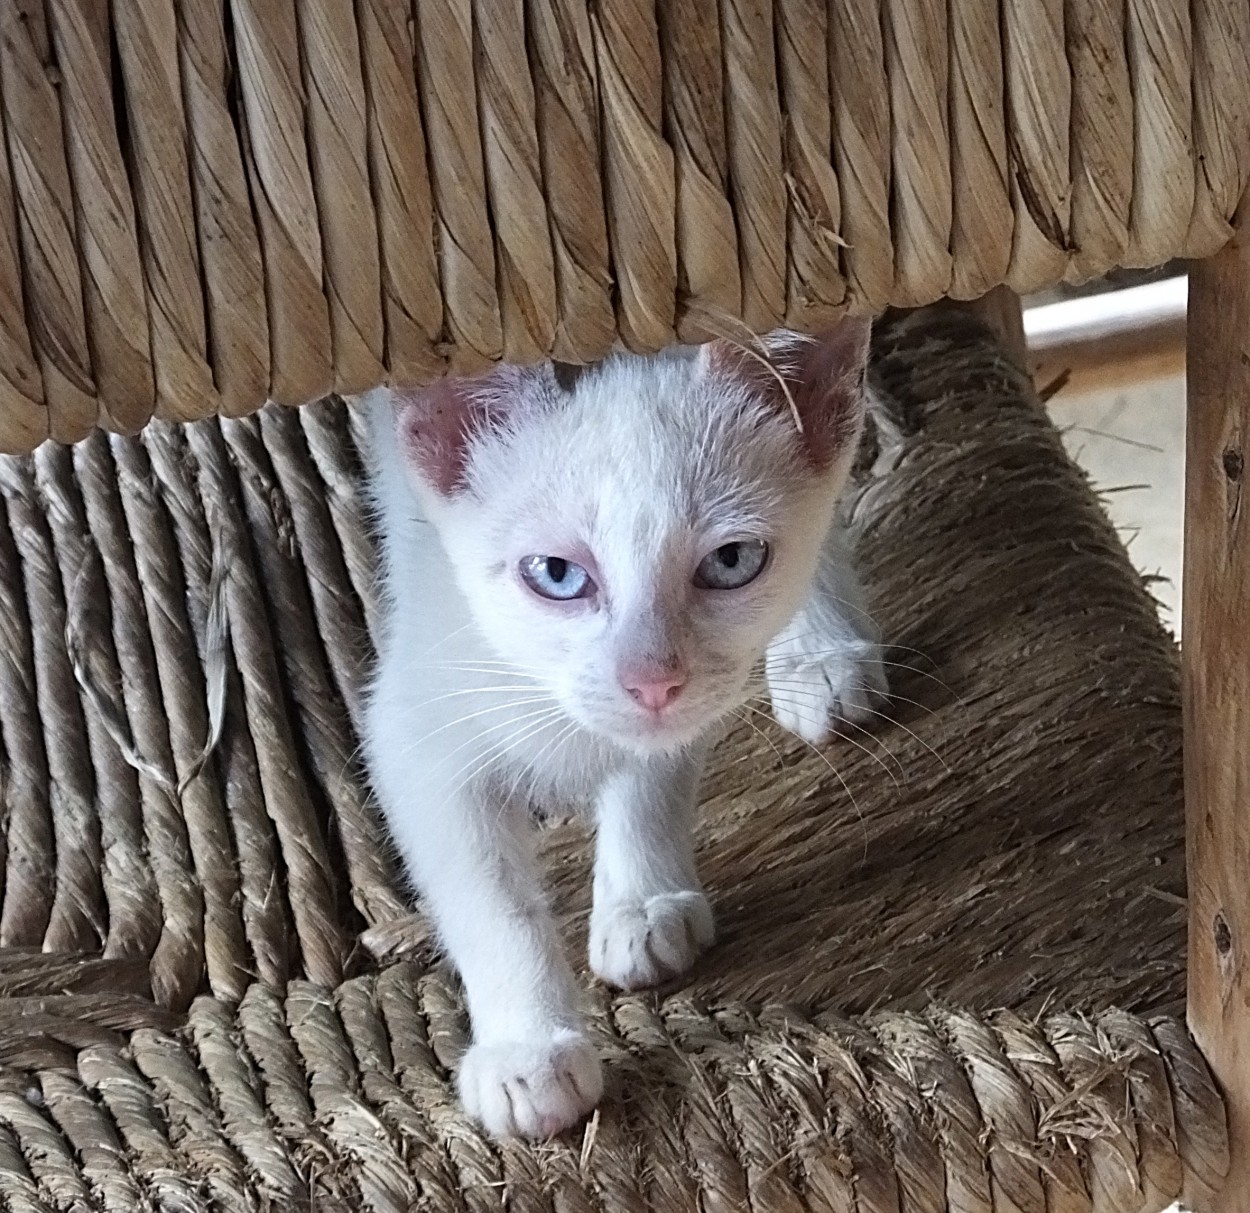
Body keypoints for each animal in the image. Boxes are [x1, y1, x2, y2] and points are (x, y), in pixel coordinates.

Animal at [365, 318, 890, 1135]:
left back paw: (822, 652)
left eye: (733, 560)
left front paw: (641, 899)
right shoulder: (413, 725)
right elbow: (490, 896)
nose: (651, 679)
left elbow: (654, 775)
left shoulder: (691, 701)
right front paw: (528, 1049)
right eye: (555, 573)